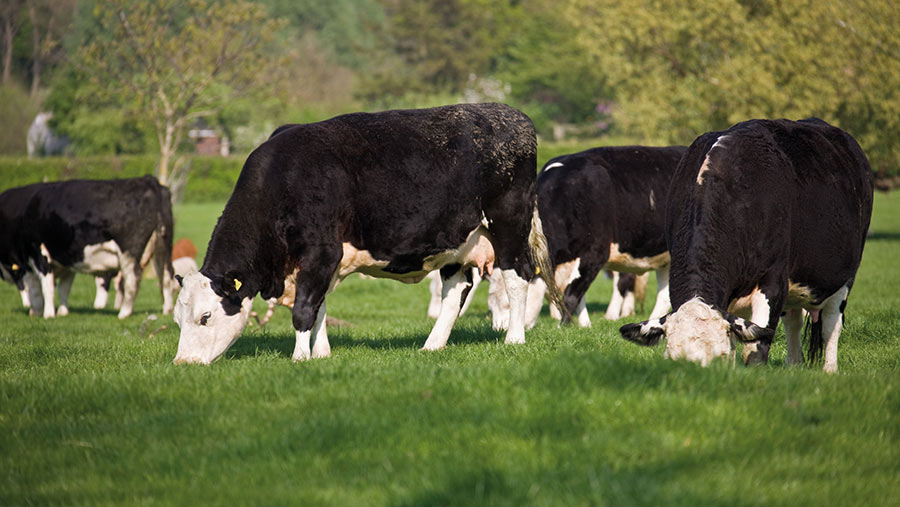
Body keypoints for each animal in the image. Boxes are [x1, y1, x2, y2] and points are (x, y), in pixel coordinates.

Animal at [0, 177, 178, 320]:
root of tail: (149, 180)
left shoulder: (38, 253)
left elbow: (43, 288)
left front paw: (46, 314)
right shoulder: (67, 260)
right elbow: (63, 288)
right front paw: (61, 312)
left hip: (129, 251)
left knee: (133, 279)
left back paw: (124, 313)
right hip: (162, 246)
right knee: (166, 275)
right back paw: (167, 310)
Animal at [171, 103, 564, 366]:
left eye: (205, 316)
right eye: (176, 319)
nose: (182, 363)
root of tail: (510, 114)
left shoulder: (321, 251)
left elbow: (304, 310)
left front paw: (300, 358)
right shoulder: (322, 262)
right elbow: (319, 305)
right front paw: (322, 353)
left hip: (509, 224)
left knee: (517, 278)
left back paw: (514, 338)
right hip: (458, 241)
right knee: (455, 291)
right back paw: (432, 346)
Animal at [620, 118, 872, 374]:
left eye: (718, 356)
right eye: (672, 357)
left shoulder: (773, 280)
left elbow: (755, 348)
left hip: (845, 276)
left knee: (831, 324)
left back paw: (829, 369)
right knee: (793, 320)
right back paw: (793, 365)